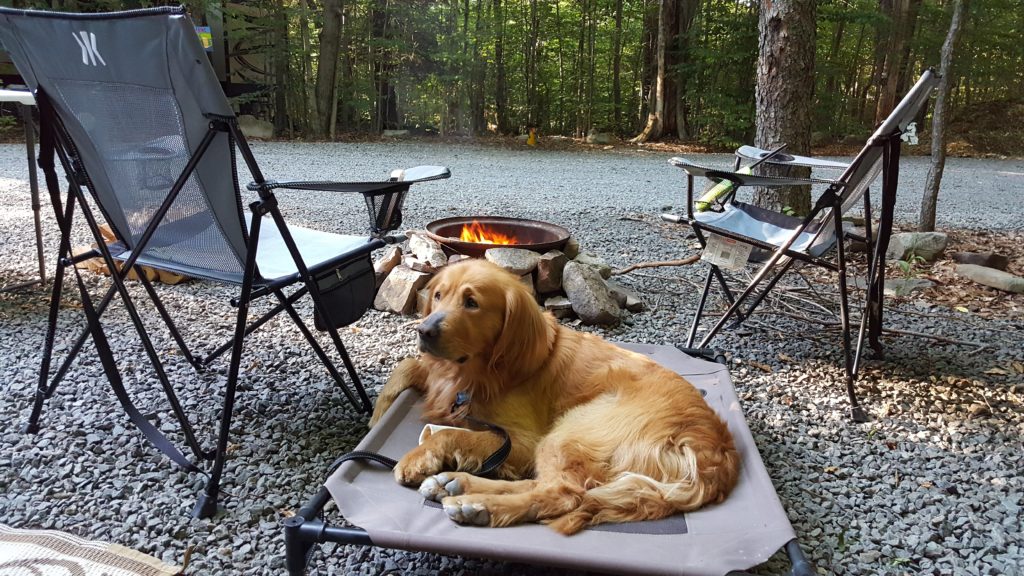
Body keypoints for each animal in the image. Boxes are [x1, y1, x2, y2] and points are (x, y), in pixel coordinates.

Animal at [372, 258, 741, 532]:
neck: (489, 368)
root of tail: (715, 451)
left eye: (472, 303)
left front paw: (417, 457)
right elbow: (406, 366)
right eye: (438, 295)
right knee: (545, 486)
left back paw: (477, 504)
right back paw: (456, 483)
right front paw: (378, 415)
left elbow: (449, 433)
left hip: (570, 431)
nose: (424, 330)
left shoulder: (523, 440)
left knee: (563, 493)